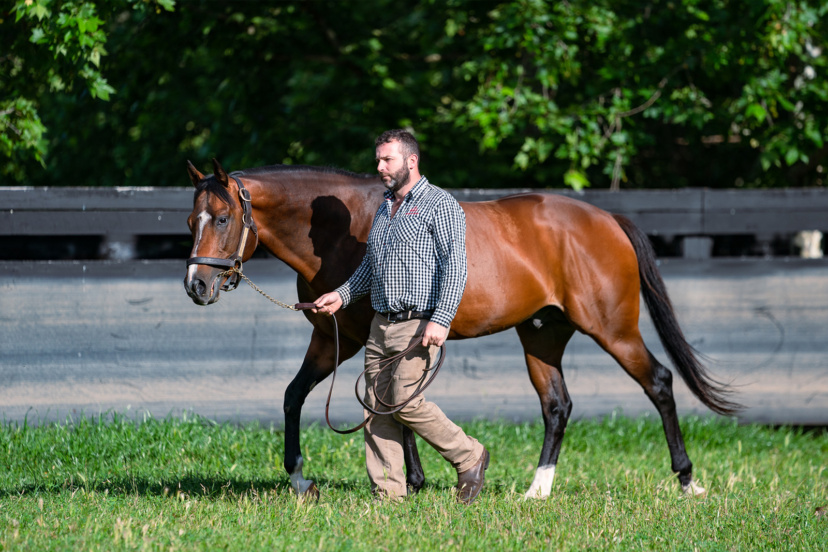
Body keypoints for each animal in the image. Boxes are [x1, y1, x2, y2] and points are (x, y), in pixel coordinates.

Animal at [181, 158, 736, 500]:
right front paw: (302, 479)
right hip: (541, 334)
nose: (196, 285)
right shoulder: (333, 338)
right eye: (190, 220)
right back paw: (537, 490)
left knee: (659, 383)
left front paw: (412, 481)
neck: (342, 229)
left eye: (224, 217)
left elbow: (391, 406)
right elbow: (299, 396)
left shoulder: (358, 340)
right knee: (557, 406)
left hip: (613, 329)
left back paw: (687, 481)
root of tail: (606, 219)